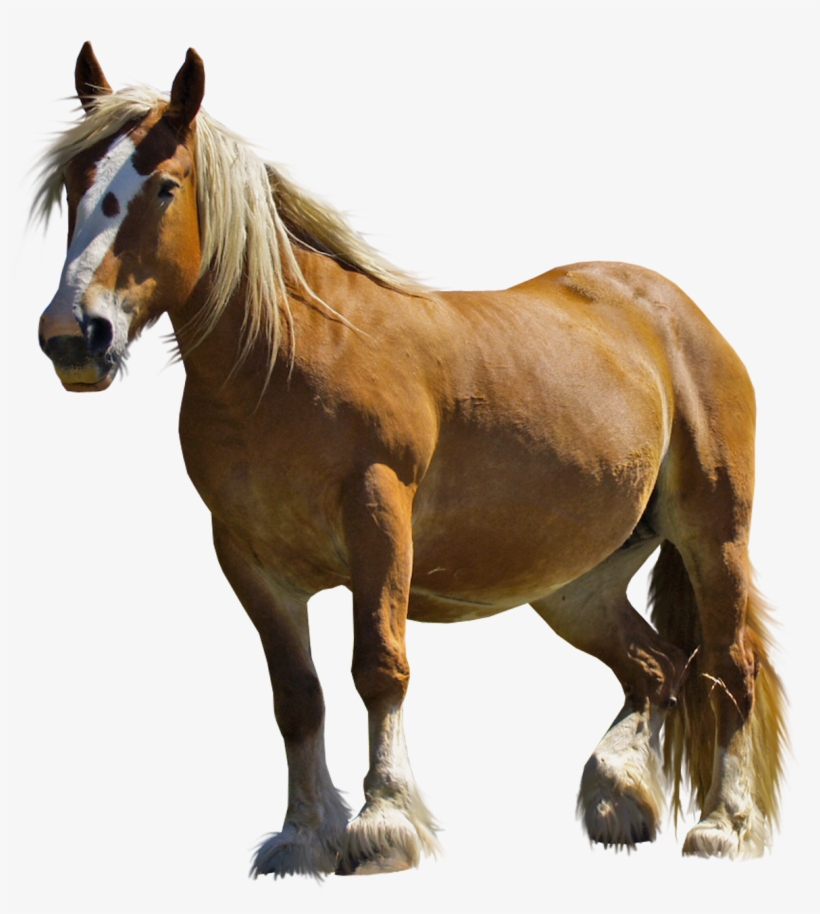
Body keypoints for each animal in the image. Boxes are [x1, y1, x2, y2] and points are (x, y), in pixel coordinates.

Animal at [36, 43, 785, 877]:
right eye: (75, 186)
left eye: (164, 187)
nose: (74, 335)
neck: (286, 358)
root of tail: (677, 313)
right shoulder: (250, 559)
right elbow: (296, 695)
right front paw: (303, 836)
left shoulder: (378, 518)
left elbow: (378, 666)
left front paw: (383, 822)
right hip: (576, 583)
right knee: (657, 667)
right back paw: (617, 797)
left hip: (713, 537)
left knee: (728, 670)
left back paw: (722, 826)